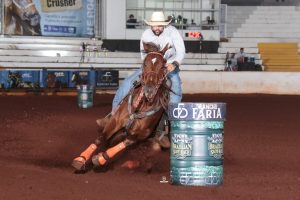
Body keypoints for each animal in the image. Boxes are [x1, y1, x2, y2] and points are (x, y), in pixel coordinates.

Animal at [72, 41, 171, 170]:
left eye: (163, 66)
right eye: (145, 63)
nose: (149, 90)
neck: (139, 107)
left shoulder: (141, 135)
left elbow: (126, 143)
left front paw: (101, 158)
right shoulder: (115, 122)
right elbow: (101, 138)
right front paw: (81, 159)